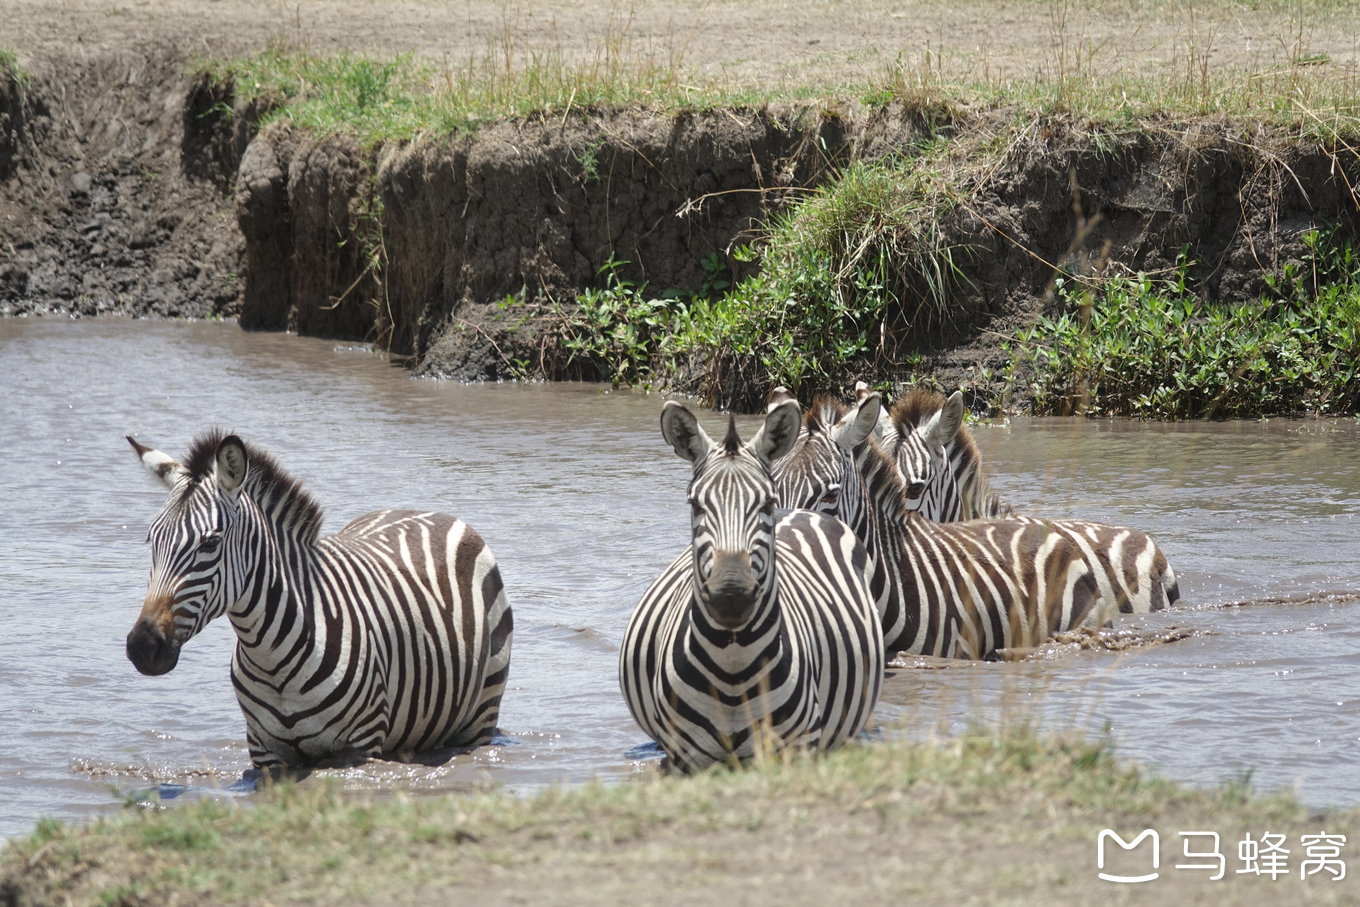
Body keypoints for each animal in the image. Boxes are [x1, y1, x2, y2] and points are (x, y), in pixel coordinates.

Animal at [125, 429, 514, 772]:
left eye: (209, 543)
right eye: (151, 540)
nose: (142, 646)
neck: (272, 658)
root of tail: (429, 512)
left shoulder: (362, 745)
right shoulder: (264, 751)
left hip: (481, 712)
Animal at [617, 399, 881, 772]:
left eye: (766, 503)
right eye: (694, 504)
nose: (731, 596)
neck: (733, 665)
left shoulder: (796, 748)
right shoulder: (685, 758)